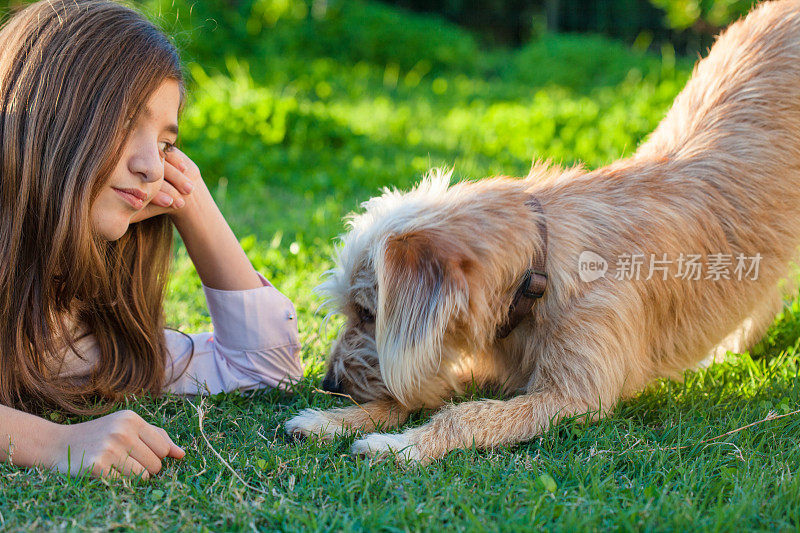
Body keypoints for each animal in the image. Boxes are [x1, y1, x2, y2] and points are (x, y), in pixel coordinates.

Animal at [286, 1, 800, 462]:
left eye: (368, 313)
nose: (330, 384)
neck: (538, 263)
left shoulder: (573, 397)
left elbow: (468, 414)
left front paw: (401, 445)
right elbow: (412, 395)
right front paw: (334, 421)